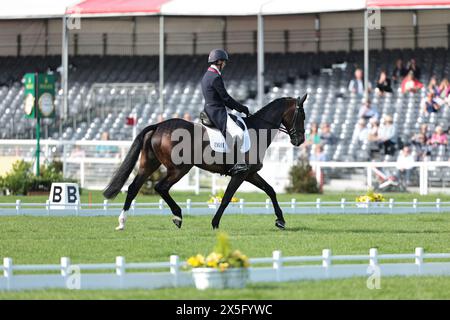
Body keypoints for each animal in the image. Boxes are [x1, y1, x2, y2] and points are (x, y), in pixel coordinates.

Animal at [103, 94, 306, 230]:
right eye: (302, 115)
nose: (300, 141)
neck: (257, 130)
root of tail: (159, 125)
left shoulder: (250, 174)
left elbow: (270, 190)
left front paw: (280, 220)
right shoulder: (241, 174)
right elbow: (226, 198)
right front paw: (215, 223)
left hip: (149, 164)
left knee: (133, 188)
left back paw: (122, 222)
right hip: (179, 169)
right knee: (161, 187)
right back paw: (178, 216)